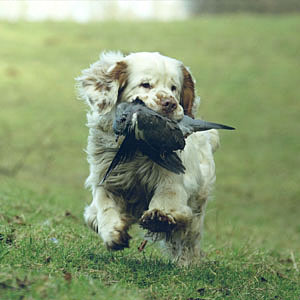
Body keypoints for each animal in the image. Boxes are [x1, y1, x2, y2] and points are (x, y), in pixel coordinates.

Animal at [76, 51, 219, 264]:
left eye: (174, 87)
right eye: (145, 84)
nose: (169, 103)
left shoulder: (172, 179)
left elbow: (167, 198)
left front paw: (159, 217)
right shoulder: (106, 177)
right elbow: (104, 205)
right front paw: (113, 233)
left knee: (187, 240)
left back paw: (187, 262)